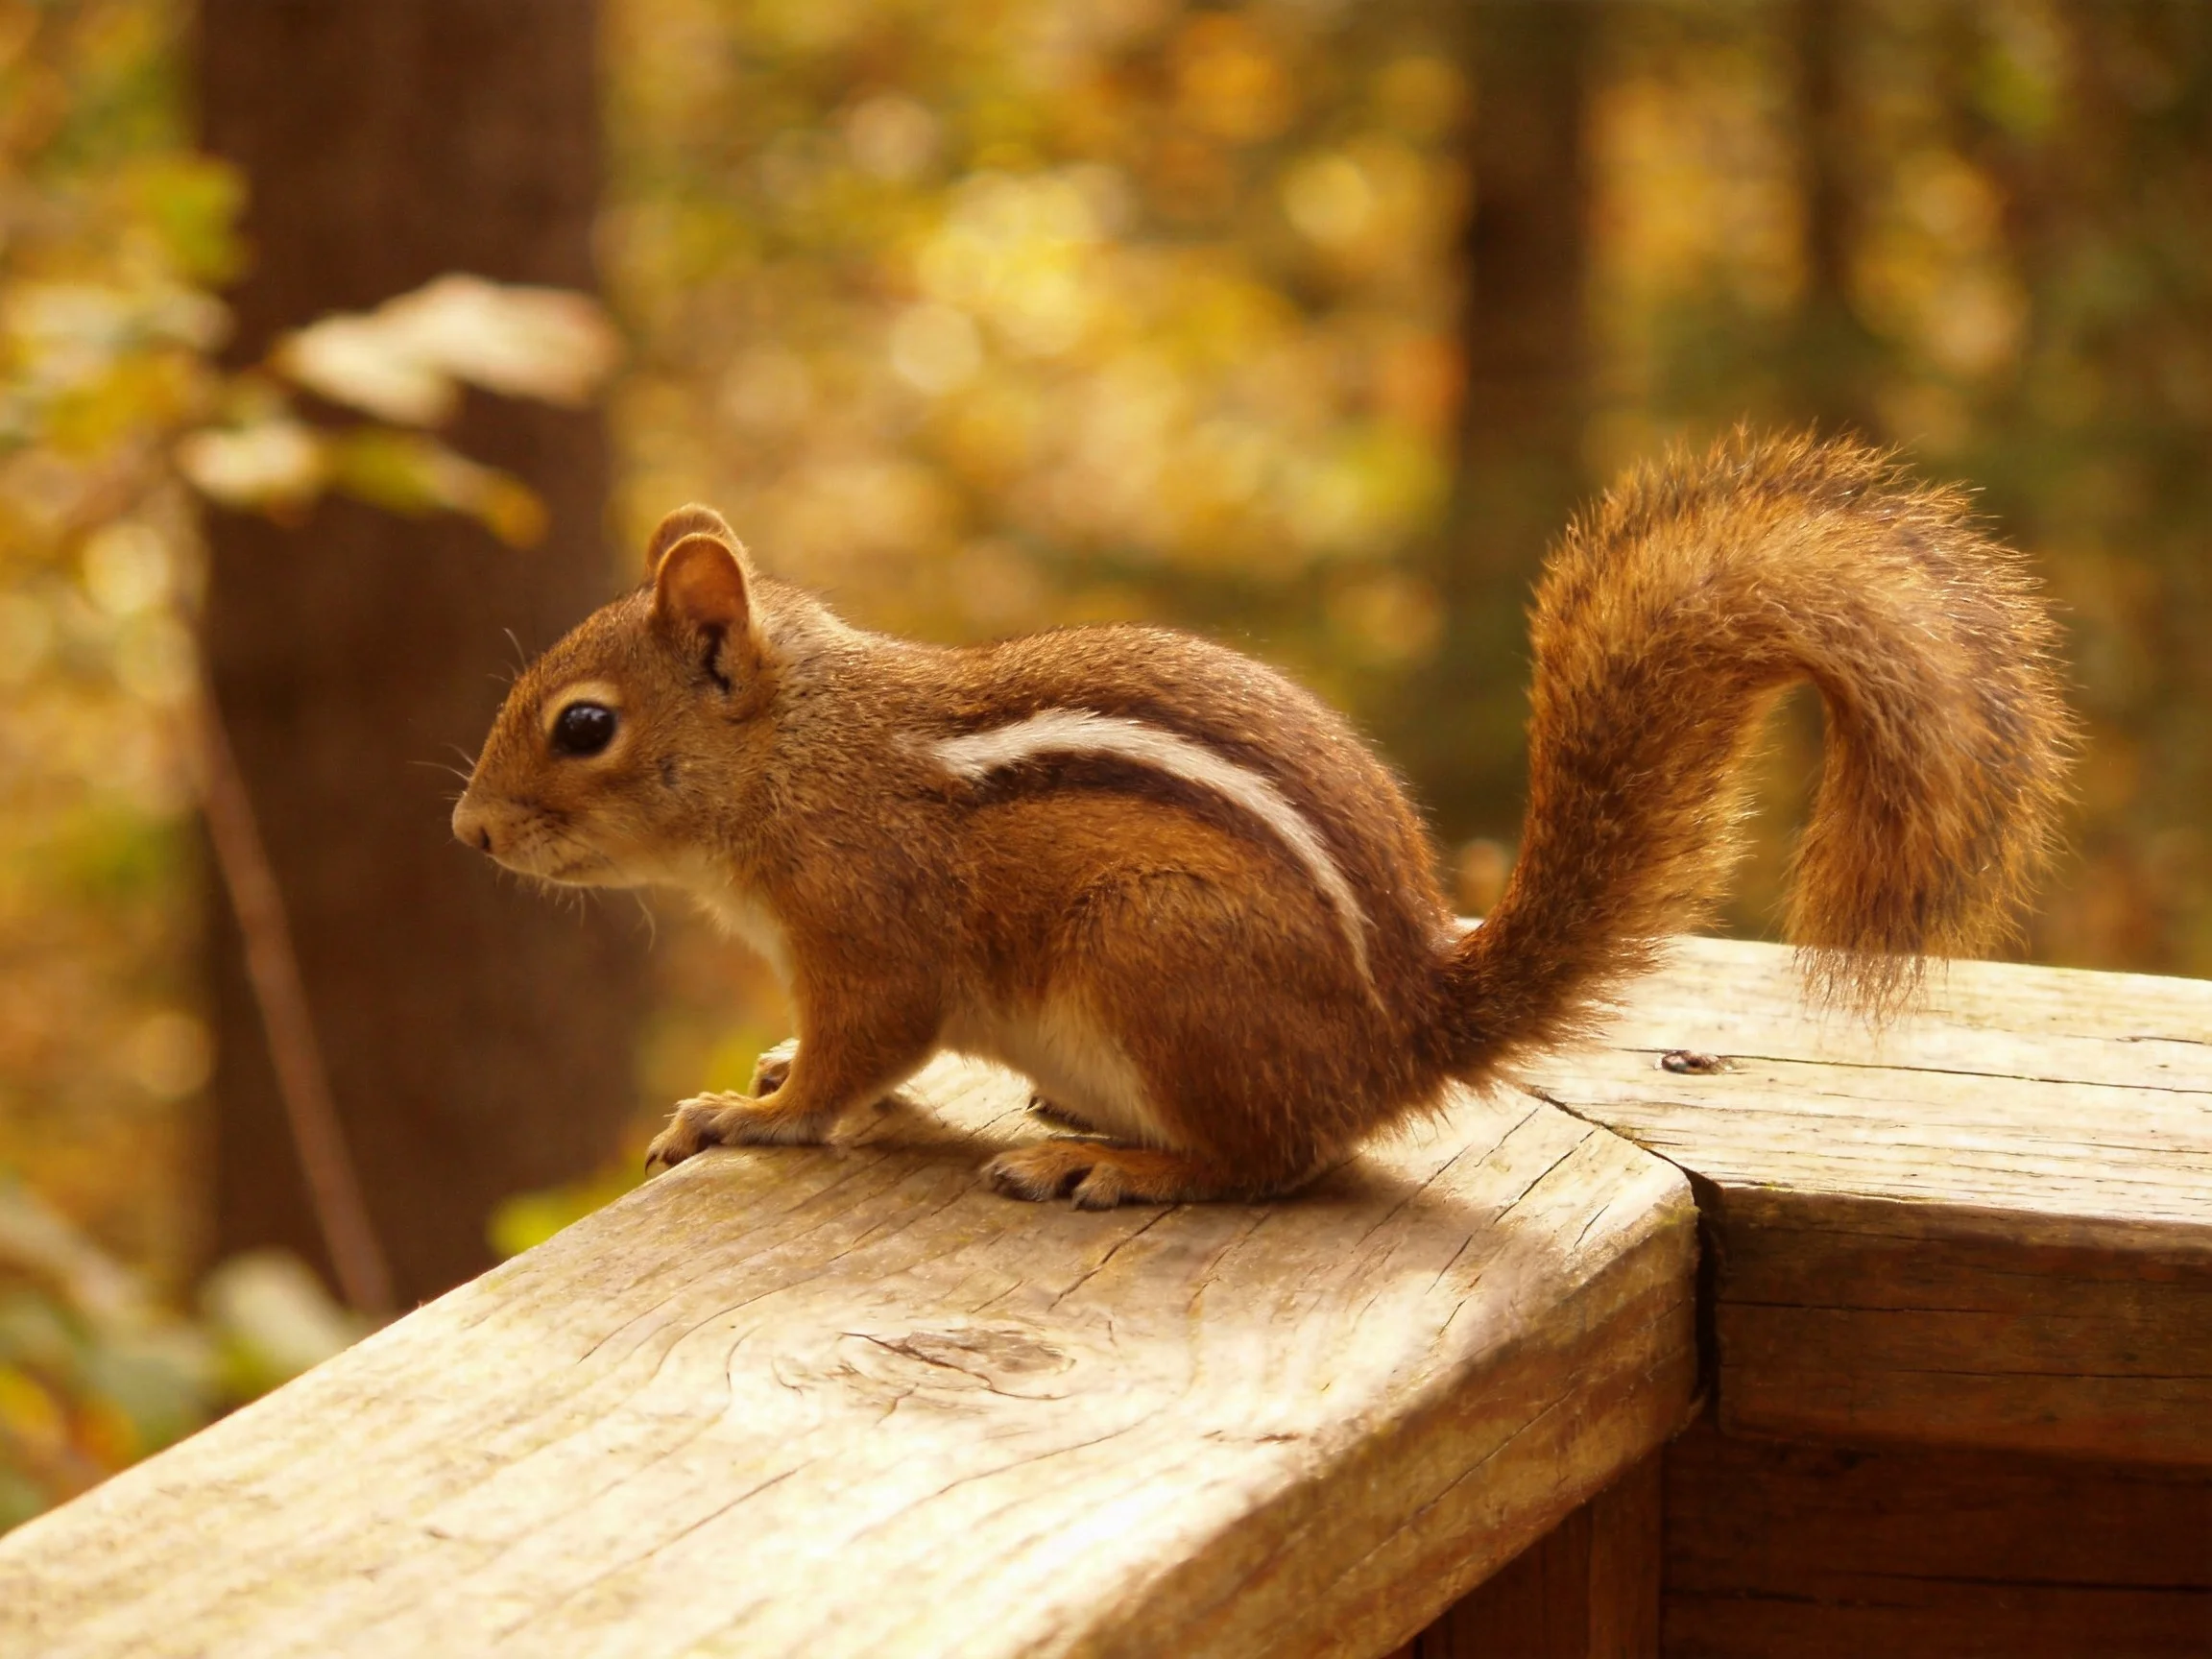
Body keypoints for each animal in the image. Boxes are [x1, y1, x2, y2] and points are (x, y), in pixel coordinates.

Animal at [453, 431, 2076, 1209]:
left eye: (584, 726)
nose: (468, 834)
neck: (802, 753)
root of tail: (1408, 1033)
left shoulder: (873, 925)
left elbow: (868, 1049)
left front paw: (751, 1115)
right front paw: (773, 1070)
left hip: (1157, 956)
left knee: (1274, 1160)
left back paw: (1116, 1164)